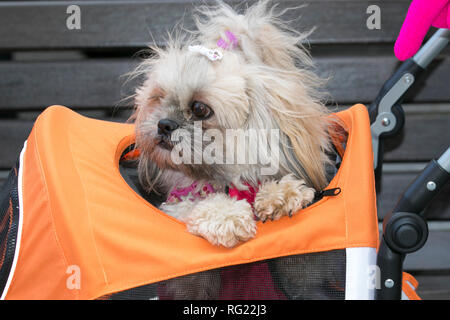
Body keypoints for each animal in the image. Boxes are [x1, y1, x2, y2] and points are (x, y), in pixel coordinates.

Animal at [128, 0, 340, 300]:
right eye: (157, 98)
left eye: (200, 108)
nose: (164, 124)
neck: (224, 180)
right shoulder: (186, 274)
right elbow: (191, 208)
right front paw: (226, 216)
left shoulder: (304, 273)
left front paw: (281, 195)